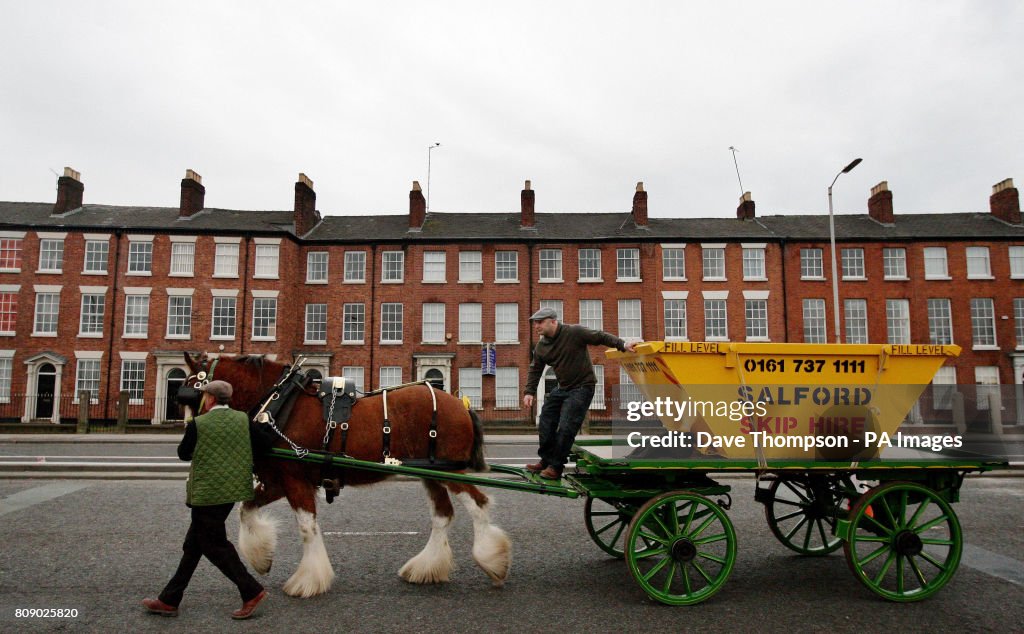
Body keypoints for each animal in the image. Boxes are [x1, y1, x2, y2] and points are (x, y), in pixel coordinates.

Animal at [183, 354, 512, 598]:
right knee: (443, 515)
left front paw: (308, 580)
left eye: (187, 391)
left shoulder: (295, 481)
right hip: (431, 472)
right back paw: (426, 567)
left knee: (478, 504)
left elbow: (307, 527)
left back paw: (492, 561)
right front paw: (261, 558)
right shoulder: (280, 481)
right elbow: (246, 509)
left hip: (450, 470)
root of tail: (460, 404)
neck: (278, 402)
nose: (187, 436)